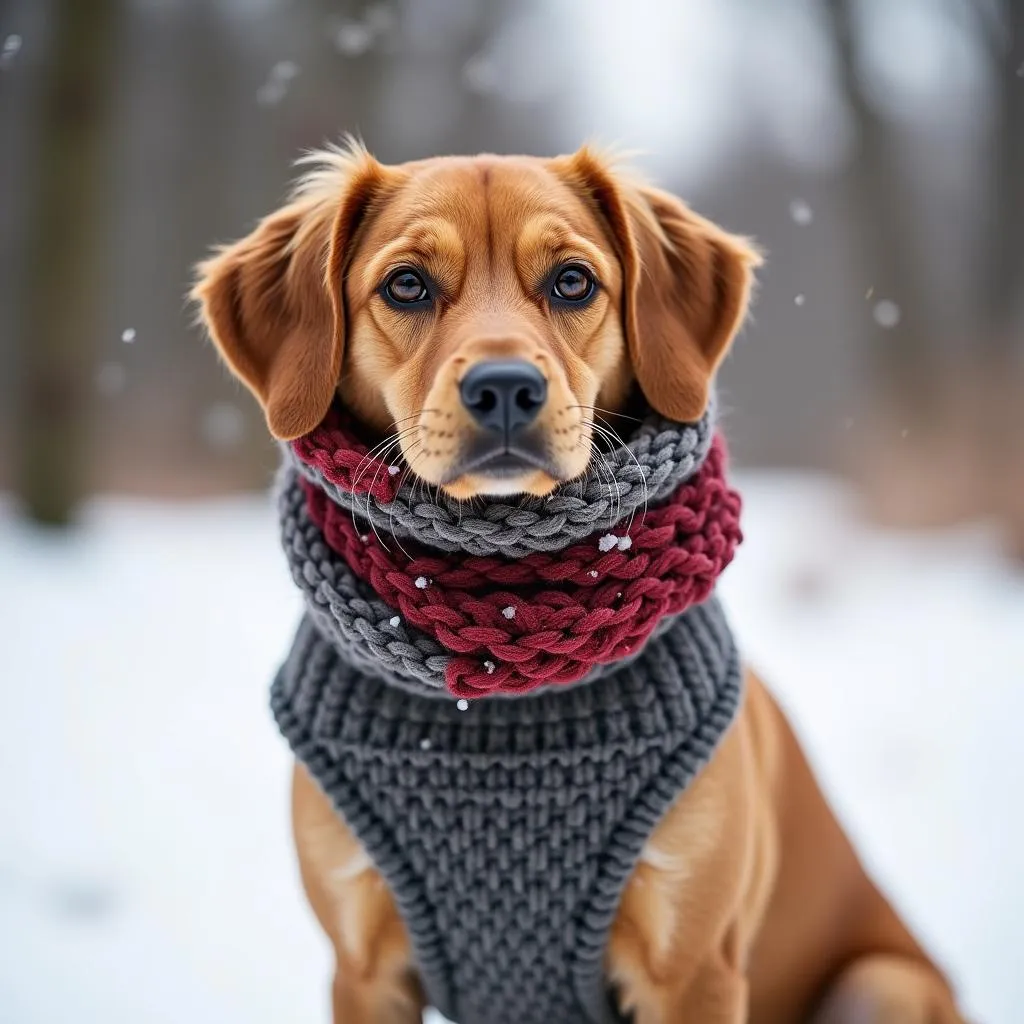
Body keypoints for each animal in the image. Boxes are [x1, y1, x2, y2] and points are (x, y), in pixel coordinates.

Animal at [192, 144, 966, 1024]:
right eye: (406, 285)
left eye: (572, 281)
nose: (503, 387)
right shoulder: (361, 967)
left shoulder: (693, 965)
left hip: (887, 981)